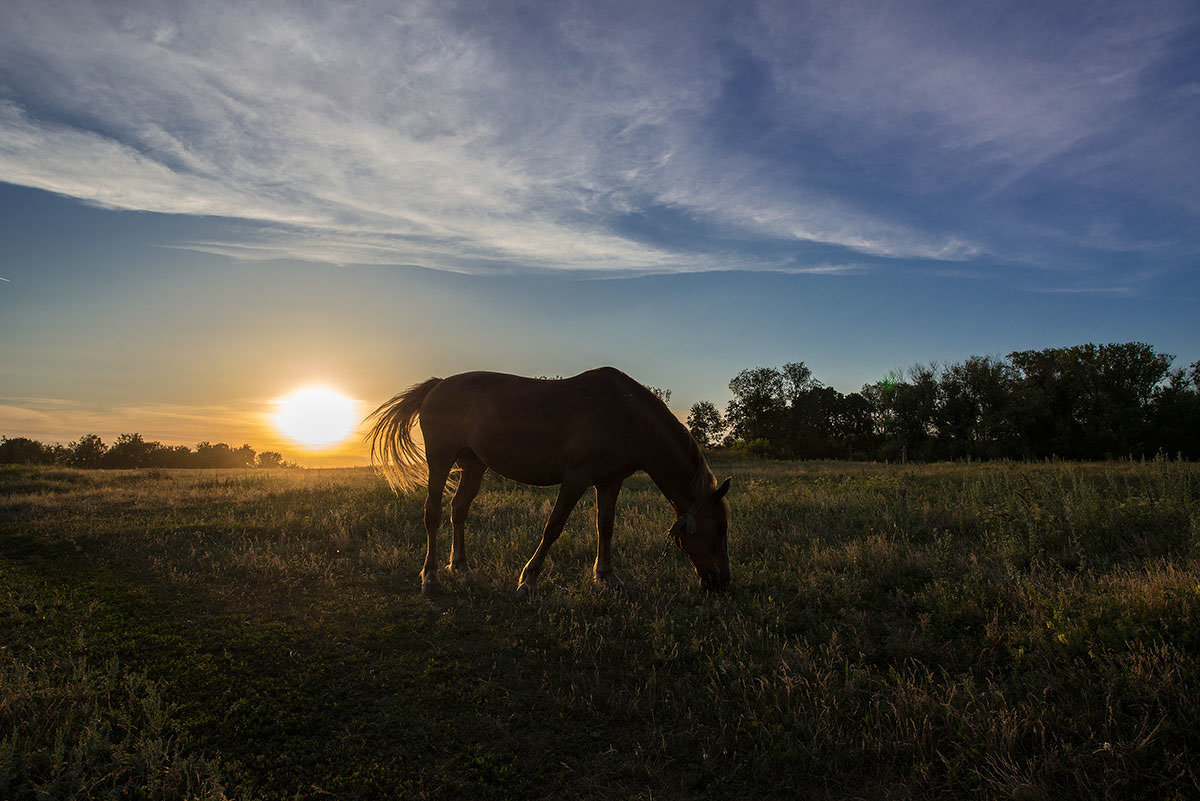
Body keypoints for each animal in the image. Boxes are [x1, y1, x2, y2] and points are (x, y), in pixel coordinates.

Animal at [360, 366, 729, 594]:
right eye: (719, 530)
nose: (722, 583)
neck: (625, 415)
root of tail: (437, 385)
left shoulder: (609, 483)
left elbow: (606, 527)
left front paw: (607, 577)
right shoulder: (576, 478)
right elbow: (554, 526)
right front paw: (529, 580)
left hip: (474, 467)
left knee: (458, 510)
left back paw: (461, 568)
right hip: (440, 460)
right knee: (433, 514)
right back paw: (431, 578)